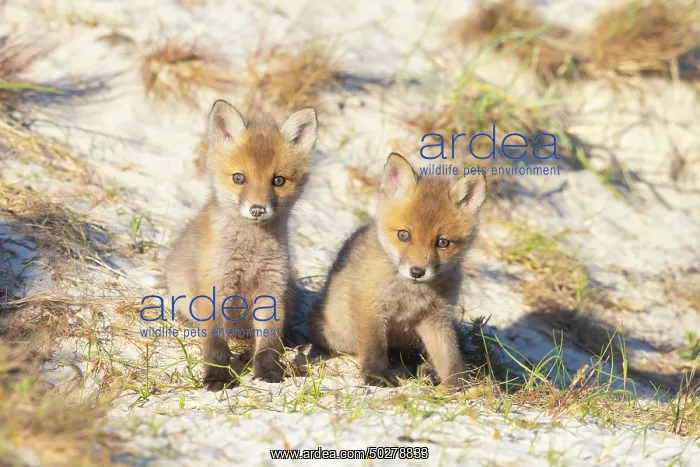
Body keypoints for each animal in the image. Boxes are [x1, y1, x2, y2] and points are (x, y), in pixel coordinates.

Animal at [165, 100, 317, 391]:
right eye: (239, 178)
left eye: (278, 180)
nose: (257, 209)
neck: (250, 255)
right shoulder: (216, 289)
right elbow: (215, 344)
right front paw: (216, 376)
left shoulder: (271, 288)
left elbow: (268, 341)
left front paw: (268, 371)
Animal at [308, 152, 486, 388]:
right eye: (403, 235)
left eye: (442, 242)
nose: (417, 271)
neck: (411, 295)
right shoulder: (370, 305)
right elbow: (373, 347)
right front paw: (376, 376)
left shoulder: (436, 318)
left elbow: (450, 356)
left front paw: (458, 387)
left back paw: (427, 369)